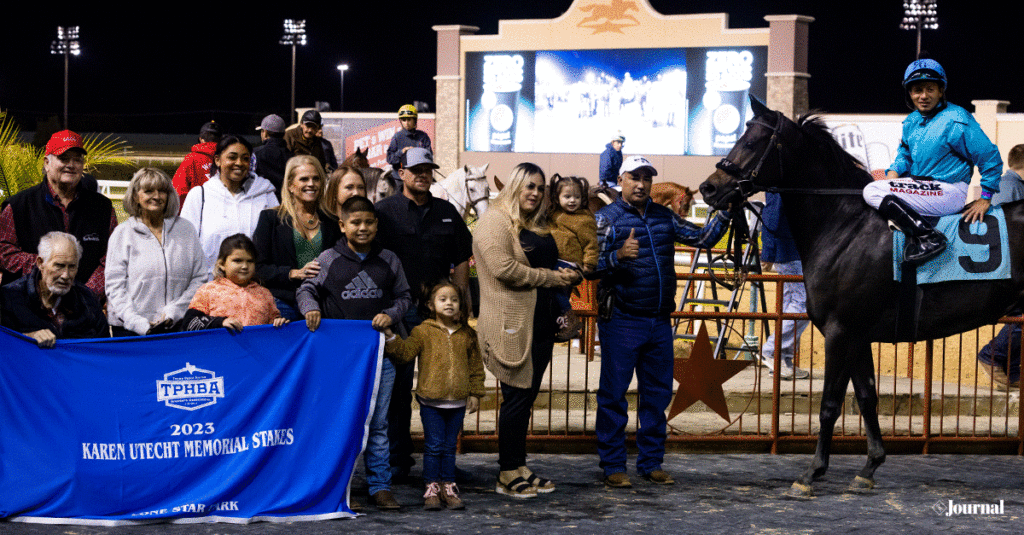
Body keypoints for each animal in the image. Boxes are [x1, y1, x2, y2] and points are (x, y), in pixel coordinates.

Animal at [696, 96, 1024, 496]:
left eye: (753, 142)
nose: (709, 188)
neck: (845, 225)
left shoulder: (840, 331)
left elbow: (830, 404)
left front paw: (812, 472)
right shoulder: (858, 335)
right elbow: (867, 398)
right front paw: (870, 466)